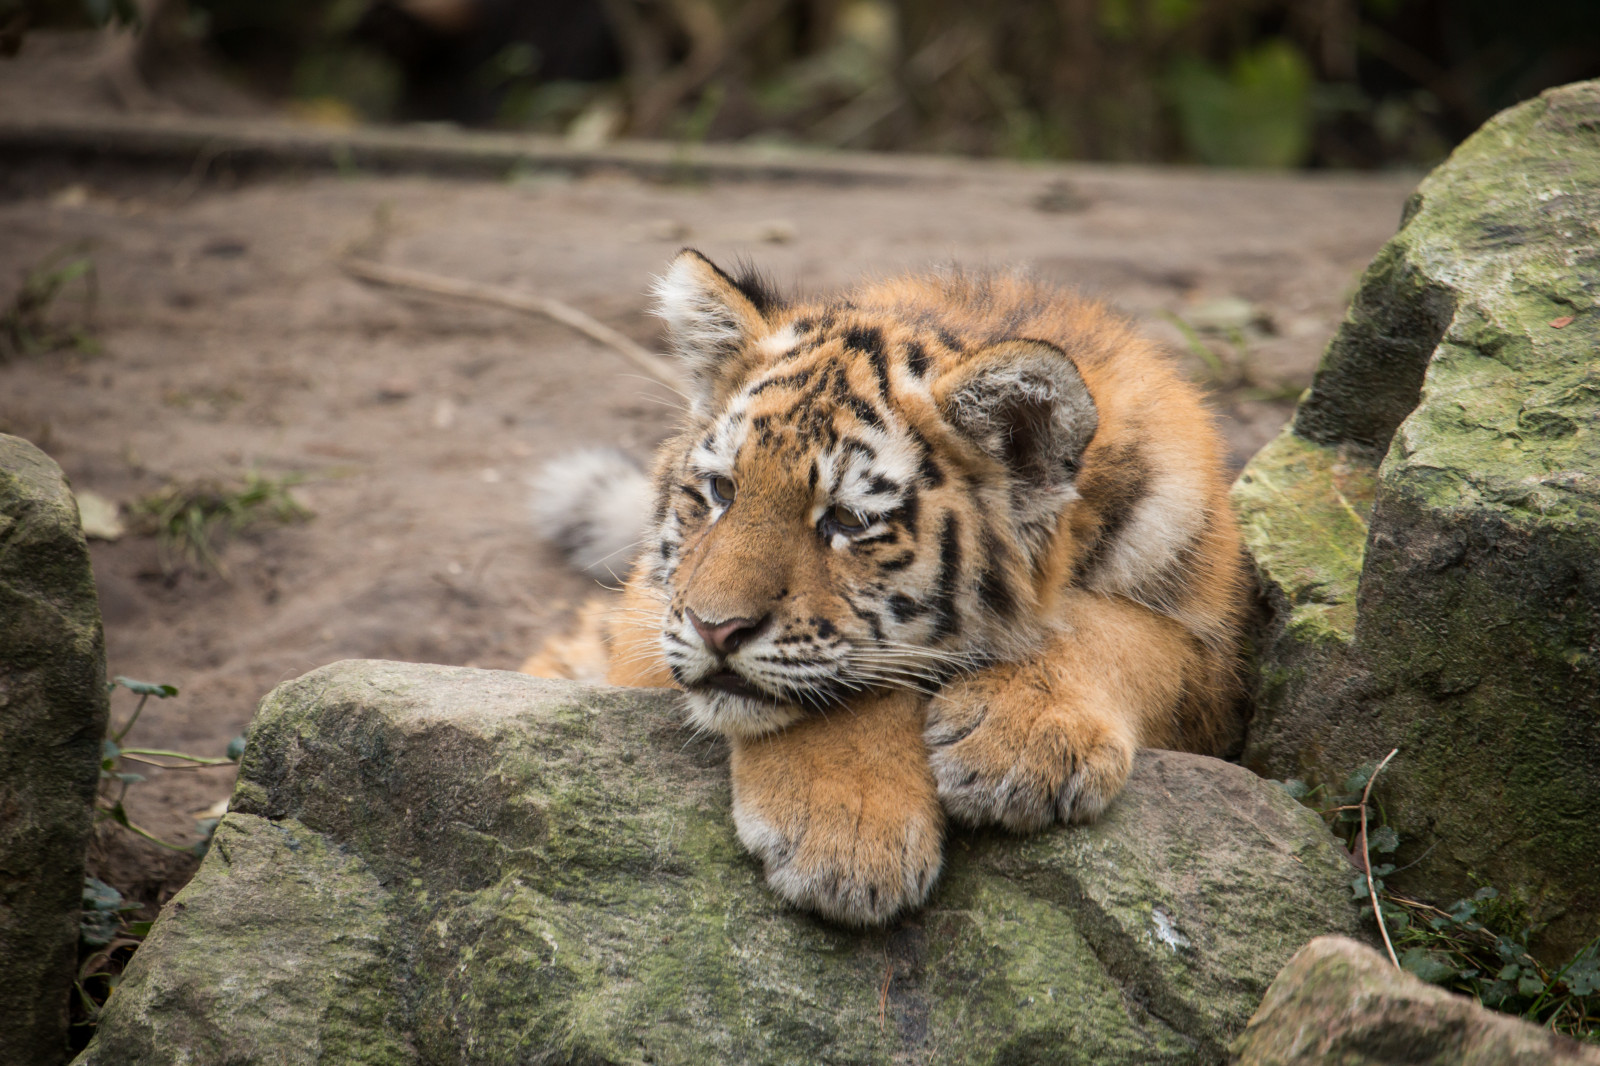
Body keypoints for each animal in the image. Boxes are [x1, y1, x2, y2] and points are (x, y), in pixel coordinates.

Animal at [525, 249, 1251, 926]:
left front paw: (1024, 740)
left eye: (847, 521)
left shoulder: (1217, 668)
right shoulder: (651, 621)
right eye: (722, 490)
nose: (715, 629)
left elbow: (1128, 632)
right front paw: (845, 835)